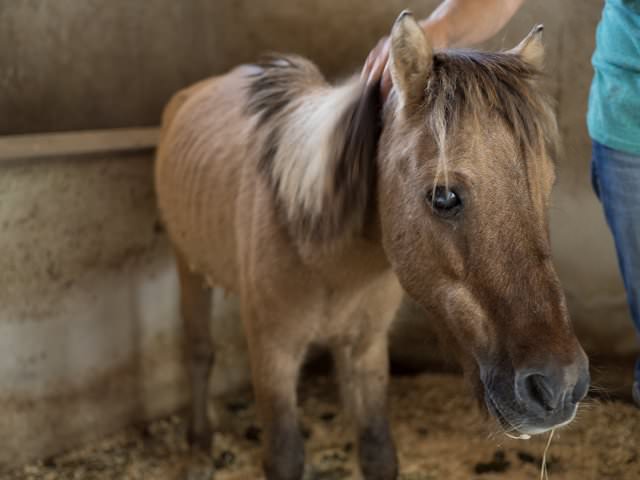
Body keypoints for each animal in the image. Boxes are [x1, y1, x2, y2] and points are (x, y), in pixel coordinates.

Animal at [154, 10, 592, 480]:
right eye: (443, 197)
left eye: (547, 185)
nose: (560, 386)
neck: (320, 248)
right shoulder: (273, 354)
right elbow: (285, 455)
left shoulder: (365, 349)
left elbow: (378, 449)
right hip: (187, 268)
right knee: (200, 352)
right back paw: (199, 442)